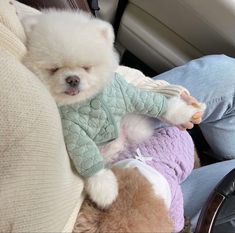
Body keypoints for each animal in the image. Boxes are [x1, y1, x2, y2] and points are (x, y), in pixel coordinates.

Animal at [22, 10, 204, 208]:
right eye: (54, 69)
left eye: (86, 67)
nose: (72, 79)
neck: (86, 100)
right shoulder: (74, 132)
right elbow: (88, 159)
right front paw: (104, 189)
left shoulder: (128, 94)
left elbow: (155, 103)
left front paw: (182, 112)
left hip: (134, 128)